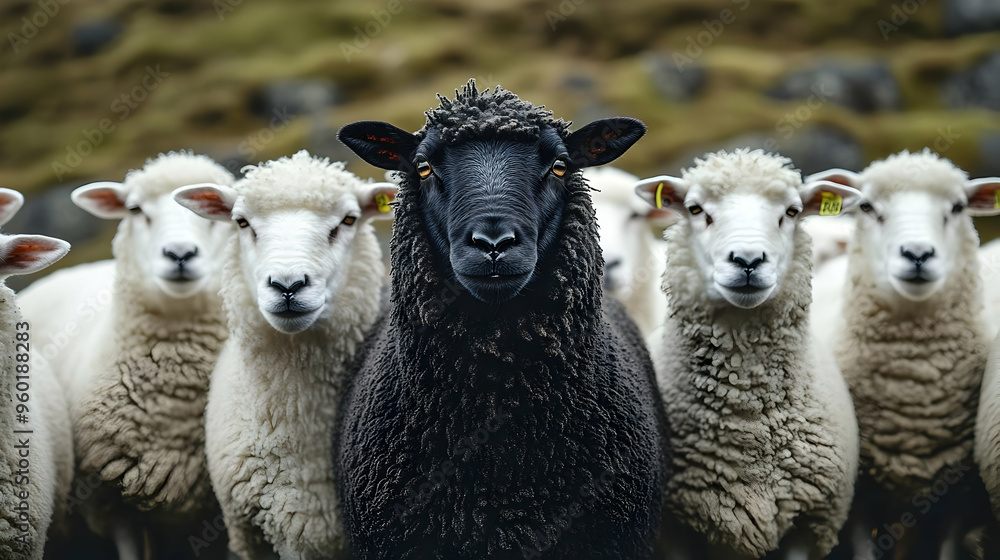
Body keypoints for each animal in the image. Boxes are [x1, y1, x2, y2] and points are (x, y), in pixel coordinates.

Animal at [808, 149, 1000, 558]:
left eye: (957, 207)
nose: (917, 254)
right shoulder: (860, 495)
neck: (912, 381)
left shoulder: (954, 496)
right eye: (867, 206)